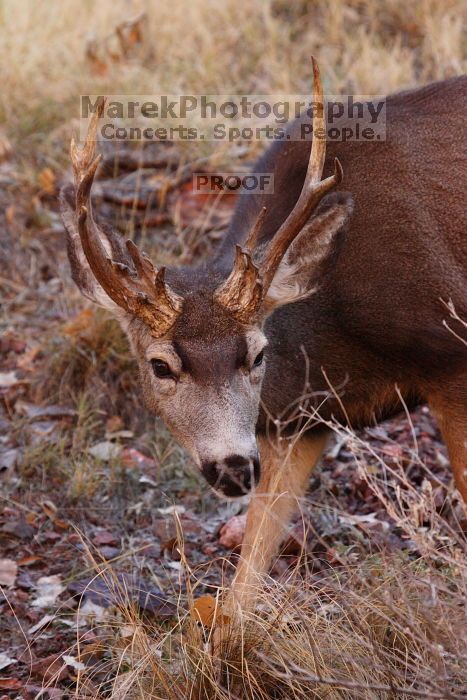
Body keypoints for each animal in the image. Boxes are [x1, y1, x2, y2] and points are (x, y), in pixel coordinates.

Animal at [60, 59, 467, 610]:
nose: (232, 467)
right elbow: (247, 575)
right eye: (160, 365)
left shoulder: (451, 347)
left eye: (257, 354)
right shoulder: (300, 422)